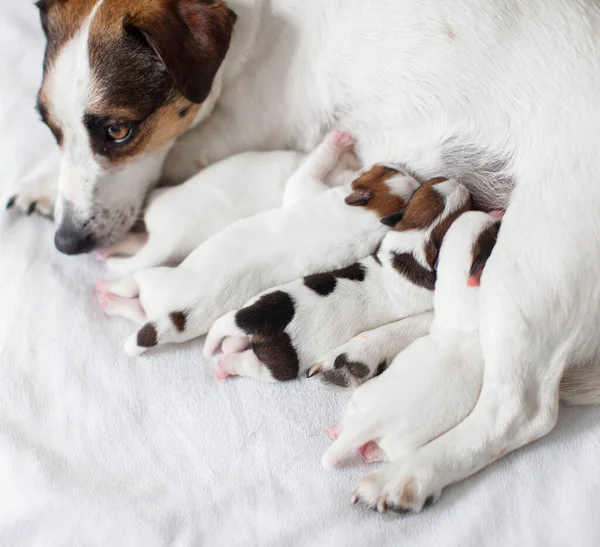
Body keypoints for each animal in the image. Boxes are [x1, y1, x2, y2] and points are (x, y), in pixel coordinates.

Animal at [97, 133, 418, 356]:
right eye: (391, 171)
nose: (405, 165)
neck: (366, 219)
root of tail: (169, 320)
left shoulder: (306, 189)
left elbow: (312, 167)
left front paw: (336, 142)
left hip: (153, 277)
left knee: (130, 279)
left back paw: (106, 285)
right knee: (136, 307)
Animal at [324, 211, 502, 512]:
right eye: (492, 231)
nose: (497, 213)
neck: (458, 310)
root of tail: (371, 420)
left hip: (362, 400)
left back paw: (337, 431)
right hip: (403, 446)